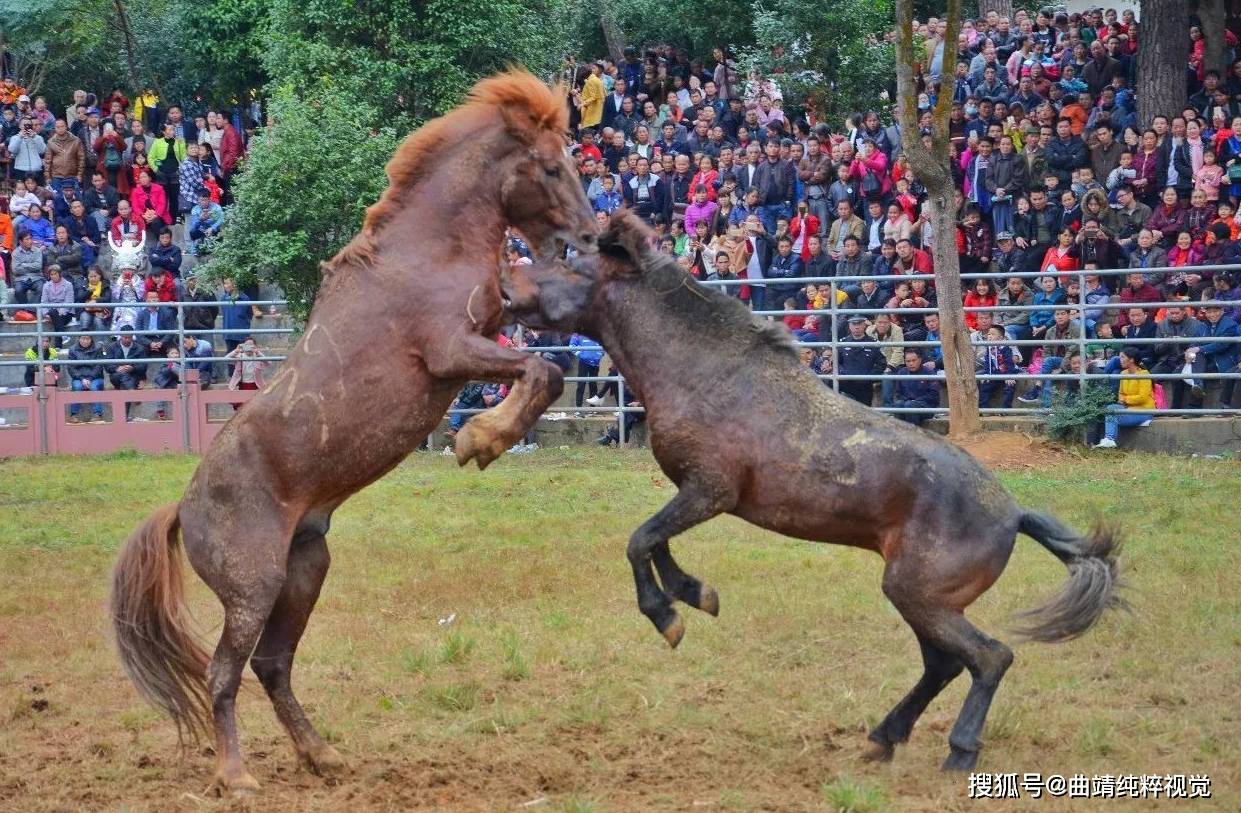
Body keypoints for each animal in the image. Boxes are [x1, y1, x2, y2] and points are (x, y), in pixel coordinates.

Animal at [107, 70, 595, 794]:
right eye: (551, 166)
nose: (589, 236)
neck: (428, 248)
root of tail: (183, 507)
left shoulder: (491, 325)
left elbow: (547, 360)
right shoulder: (451, 349)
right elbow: (543, 368)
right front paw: (480, 439)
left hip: (304, 569)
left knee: (271, 665)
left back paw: (322, 754)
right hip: (252, 588)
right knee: (224, 672)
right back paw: (236, 774)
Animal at [503, 213, 1126, 774]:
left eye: (570, 262)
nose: (504, 286)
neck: (705, 373)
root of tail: (1014, 513)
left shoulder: (710, 490)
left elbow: (640, 541)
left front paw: (668, 615)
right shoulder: (695, 494)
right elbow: (656, 544)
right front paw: (696, 594)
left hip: (920, 595)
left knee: (989, 658)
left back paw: (959, 752)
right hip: (920, 598)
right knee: (943, 666)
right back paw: (882, 738)